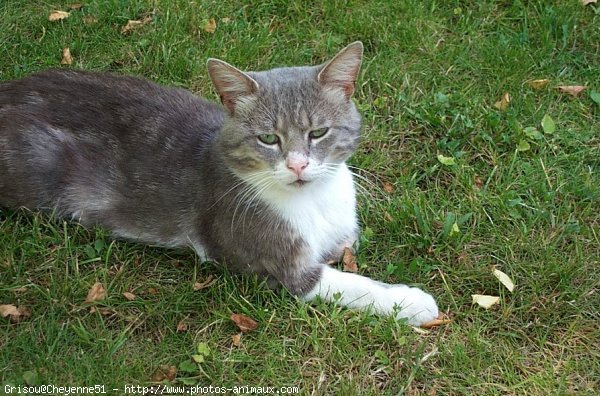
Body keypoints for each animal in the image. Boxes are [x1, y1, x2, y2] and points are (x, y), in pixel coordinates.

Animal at [1, 42, 440, 324]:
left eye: (318, 133)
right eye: (268, 138)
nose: (298, 165)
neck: (313, 202)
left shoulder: (342, 235)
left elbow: (345, 248)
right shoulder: (274, 261)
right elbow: (344, 283)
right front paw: (408, 301)